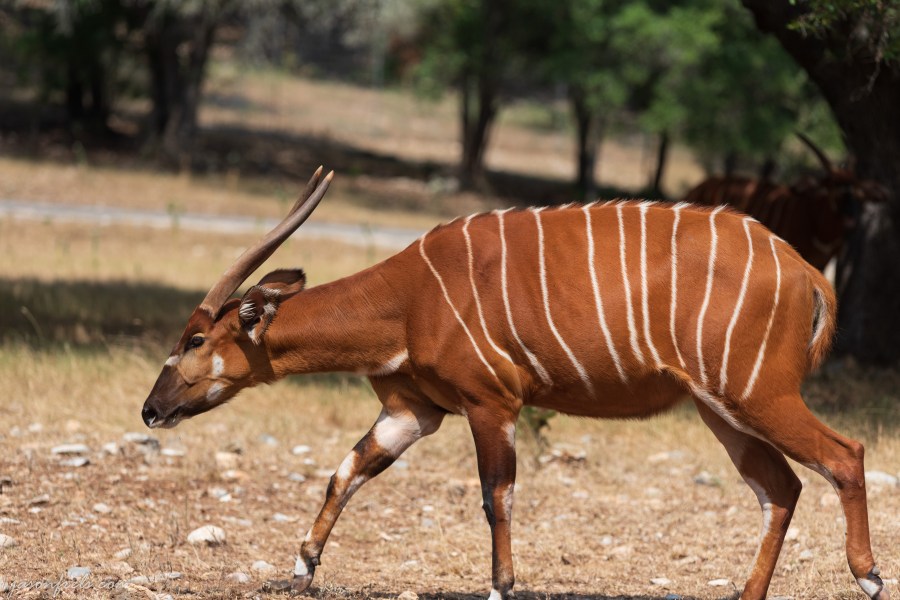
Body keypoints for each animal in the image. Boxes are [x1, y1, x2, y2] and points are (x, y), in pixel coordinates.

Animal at [142, 167, 889, 600]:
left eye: (195, 340)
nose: (151, 409)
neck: (409, 297)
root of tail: (804, 270)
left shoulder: (489, 403)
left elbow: (495, 494)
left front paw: (502, 586)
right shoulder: (413, 411)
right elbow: (345, 472)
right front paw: (300, 568)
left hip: (758, 394)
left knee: (844, 455)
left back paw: (870, 575)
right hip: (720, 408)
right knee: (780, 486)